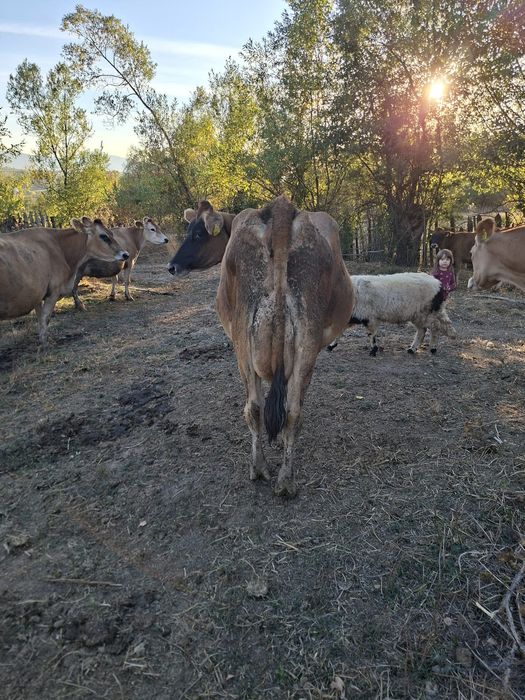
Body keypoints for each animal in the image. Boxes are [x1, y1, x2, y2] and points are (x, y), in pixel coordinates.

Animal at [0, 218, 129, 345]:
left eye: (112, 233)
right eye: (103, 236)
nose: (126, 254)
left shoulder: (37, 295)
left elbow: (40, 318)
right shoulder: (53, 292)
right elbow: (45, 319)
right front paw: (44, 343)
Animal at [216, 196, 354, 498]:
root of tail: (280, 208)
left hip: (243, 339)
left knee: (257, 408)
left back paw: (263, 470)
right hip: (306, 340)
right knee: (292, 411)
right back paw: (286, 481)